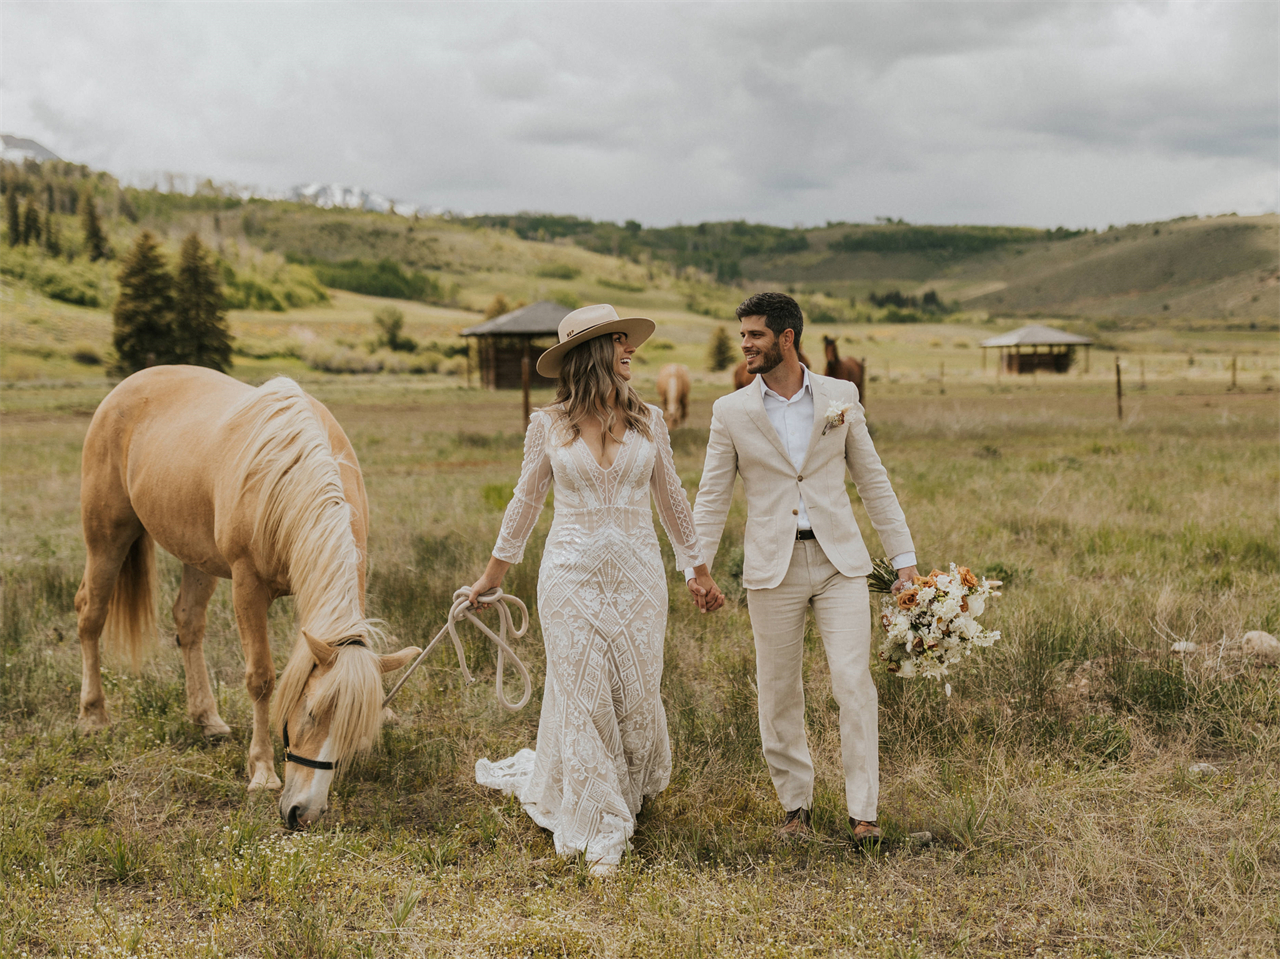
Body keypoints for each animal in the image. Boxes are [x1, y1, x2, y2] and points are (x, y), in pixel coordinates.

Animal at [76, 363, 419, 824]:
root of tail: (125, 388)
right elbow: (261, 679)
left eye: (350, 732)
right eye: (310, 712)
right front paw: (262, 770)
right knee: (90, 616)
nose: (304, 813)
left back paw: (207, 719)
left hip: (197, 557)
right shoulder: (247, 586)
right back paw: (94, 715)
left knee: (188, 623)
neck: (291, 477)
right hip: (107, 538)